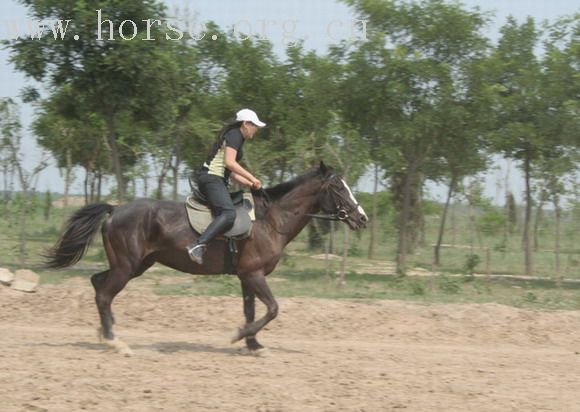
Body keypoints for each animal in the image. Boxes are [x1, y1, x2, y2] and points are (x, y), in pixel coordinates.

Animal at [47, 163, 370, 356]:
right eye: (338, 188)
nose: (362, 218)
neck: (271, 221)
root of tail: (115, 209)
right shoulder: (254, 274)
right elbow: (273, 309)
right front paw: (239, 336)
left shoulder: (247, 276)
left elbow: (252, 310)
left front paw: (253, 344)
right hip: (127, 267)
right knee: (103, 293)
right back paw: (116, 341)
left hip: (135, 266)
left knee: (97, 283)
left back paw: (105, 332)